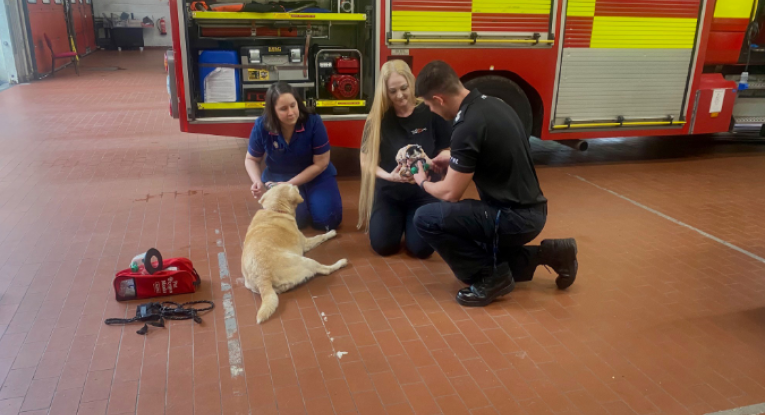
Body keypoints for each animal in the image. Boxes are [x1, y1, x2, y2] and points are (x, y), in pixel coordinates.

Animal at [242, 184, 346, 324]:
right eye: (291, 186)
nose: (296, 184)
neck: (275, 210)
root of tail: (262, 278)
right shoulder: (306, 242)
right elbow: (320, 236)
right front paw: (330, 233)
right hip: (306, 261)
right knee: (326, 270)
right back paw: (341, 262)